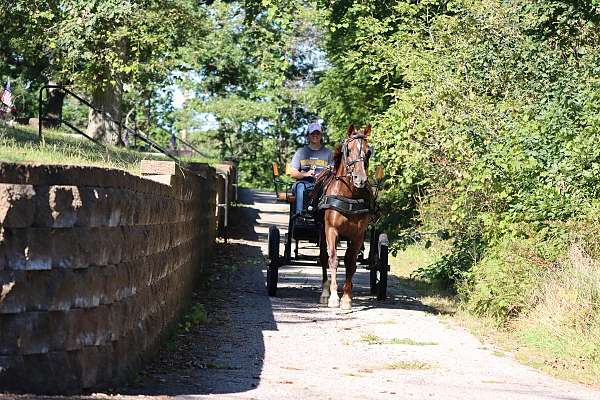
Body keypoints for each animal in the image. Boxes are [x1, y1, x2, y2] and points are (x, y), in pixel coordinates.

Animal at [316, 123, 372, 310]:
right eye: (348, 149)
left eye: (369, 151)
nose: (360, 179)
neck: (349, 196)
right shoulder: (331, 230)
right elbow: (333, 259)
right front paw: (334, 297)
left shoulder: (358, 235)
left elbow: (350, 262)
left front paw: (347, 298)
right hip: (322, 231)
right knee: (324, 258)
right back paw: (325, 292)